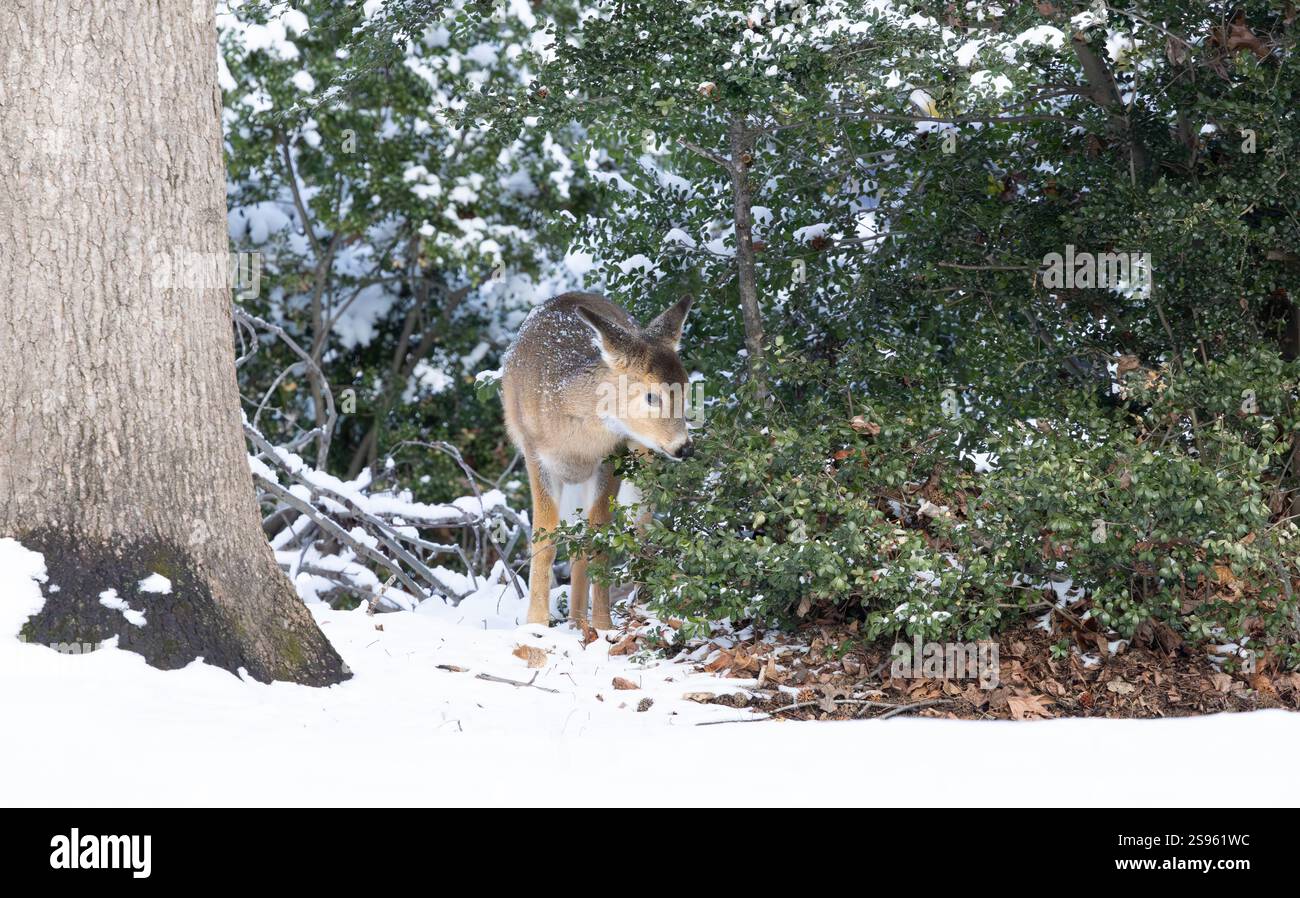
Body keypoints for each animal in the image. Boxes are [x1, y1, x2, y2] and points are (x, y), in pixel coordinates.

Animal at [501, 292, 695, 628]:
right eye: (651, 396)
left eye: (686, 389)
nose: (684, 447)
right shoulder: (535, 455)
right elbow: (544, 542)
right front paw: (536, 624)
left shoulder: (611, 458)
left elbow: (600, 541)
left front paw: (603, 626)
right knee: (575, 541)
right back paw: (576, 621)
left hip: (640, 464)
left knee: (637, 528)